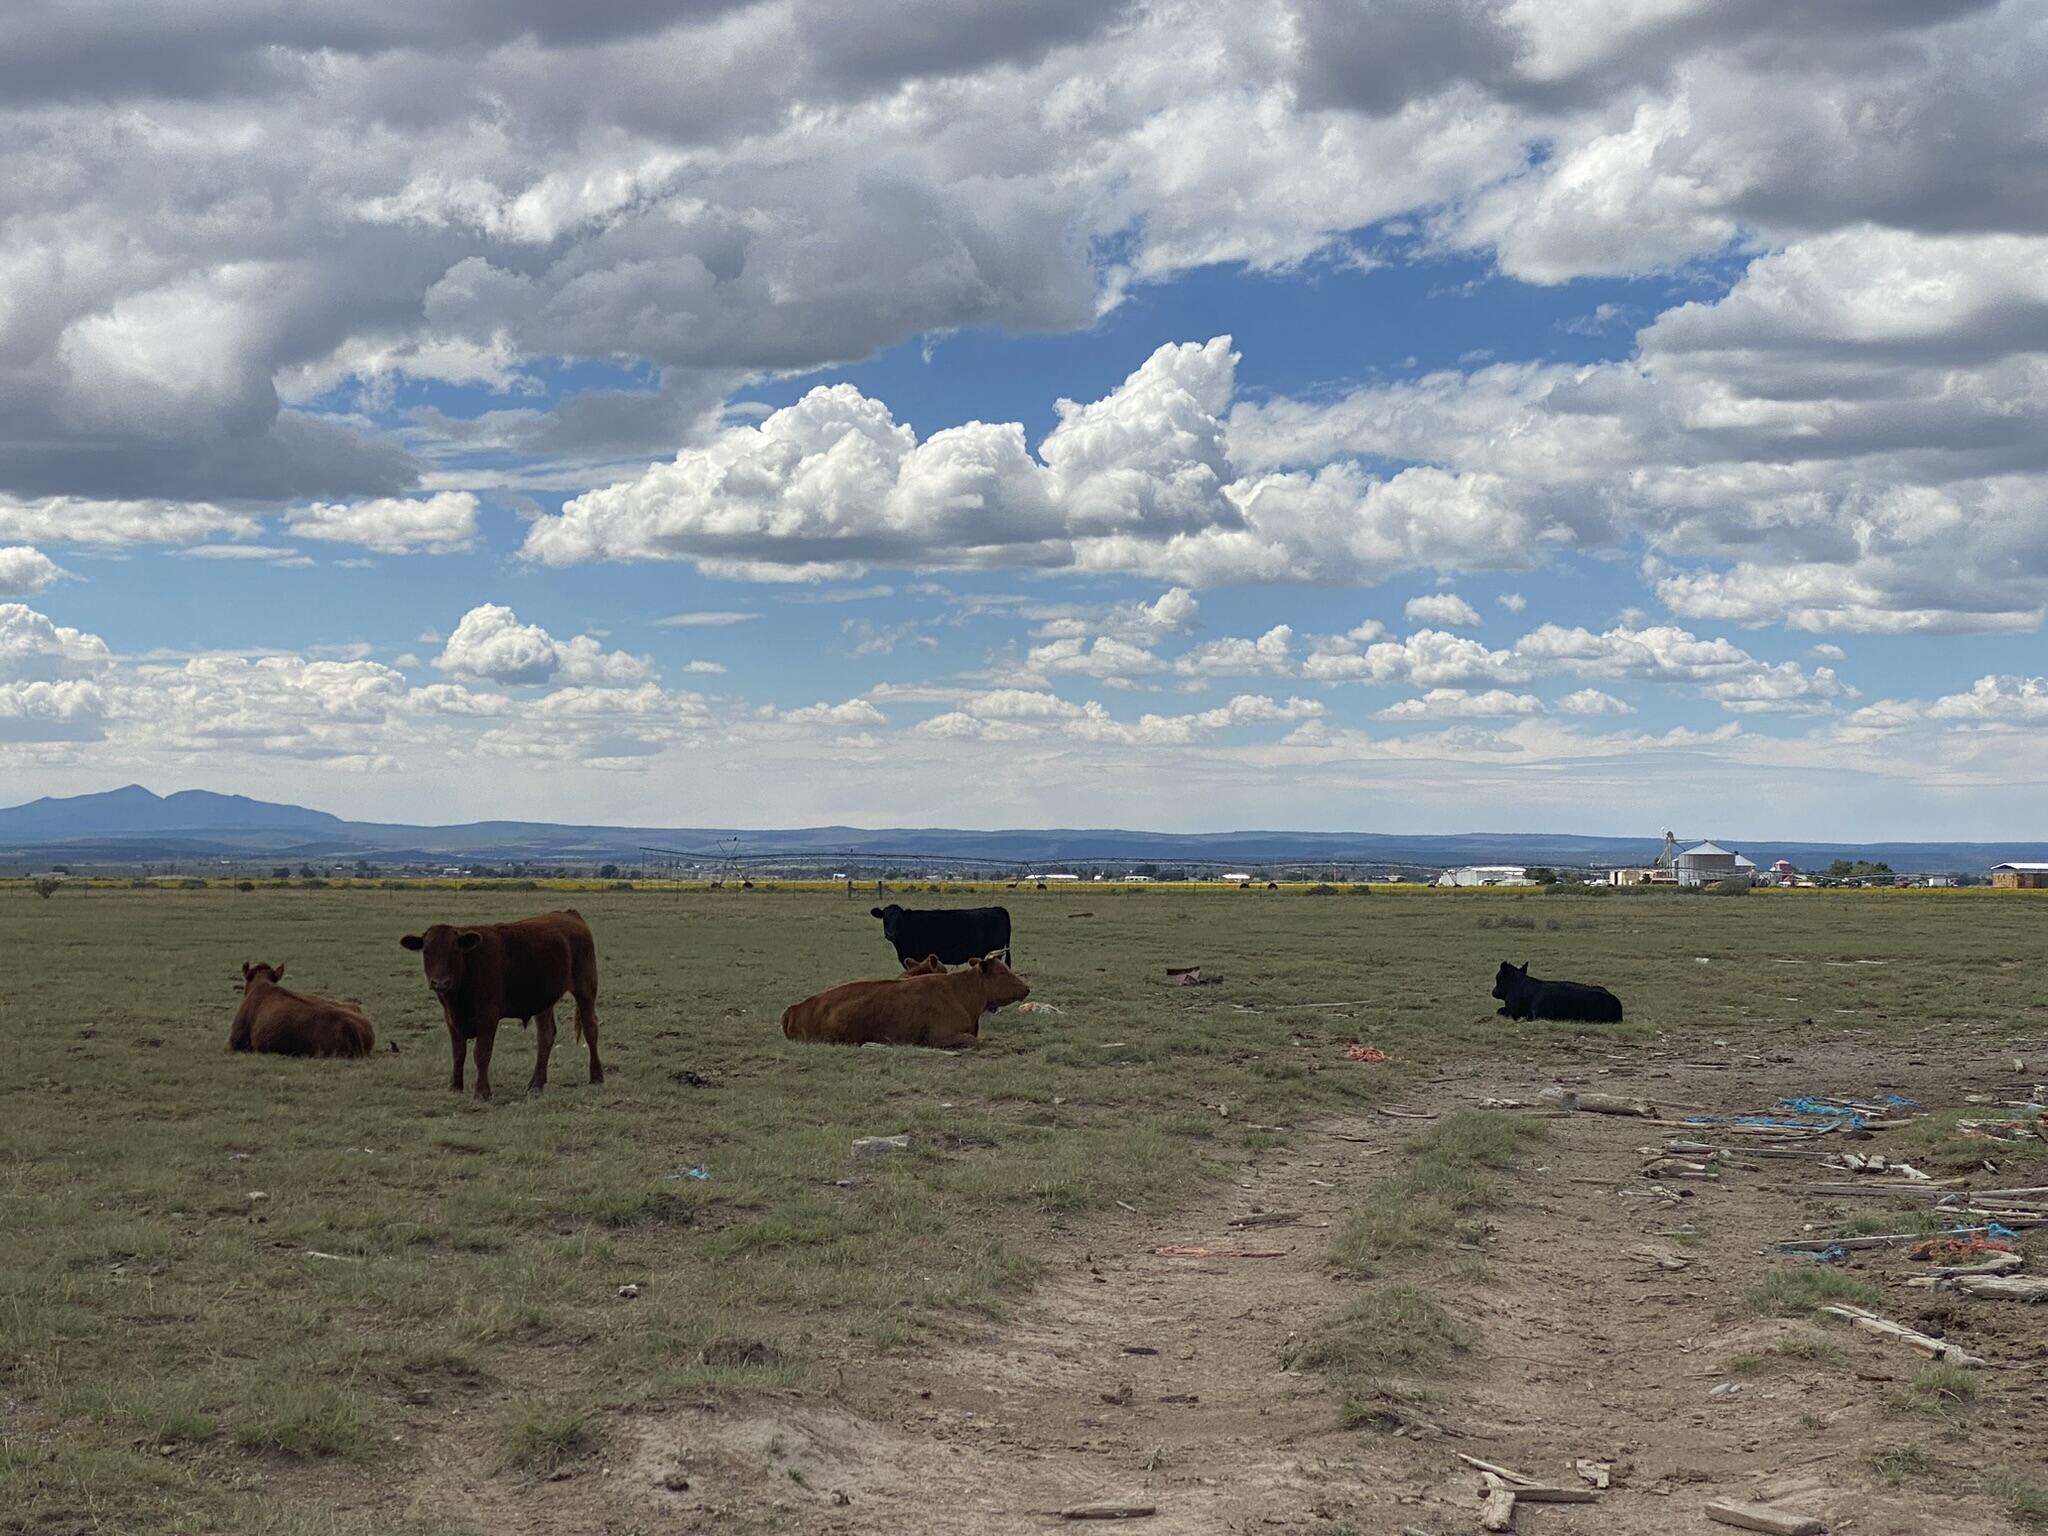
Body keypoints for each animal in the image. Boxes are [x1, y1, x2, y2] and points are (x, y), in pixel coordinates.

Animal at [395, 909, 598, 1097]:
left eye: (454, 951)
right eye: (426, 951)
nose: (440, 982)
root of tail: (570, 914)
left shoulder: (488, 1016)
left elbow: (481, 1053)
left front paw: (482, 1091)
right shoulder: (451, 1019)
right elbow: (458, 1053)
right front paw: (455, 1086)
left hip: (585, 989)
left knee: (590, 1029)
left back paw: (596, 1077)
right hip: (543, 1001)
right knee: (545, 1036)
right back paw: (535, 1085)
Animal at [778, 958, 1032, 1056]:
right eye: (1002, 972)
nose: (1026, 989)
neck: (961, 992)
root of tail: (795, 1008)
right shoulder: (940, 1037)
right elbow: (976, 1041)